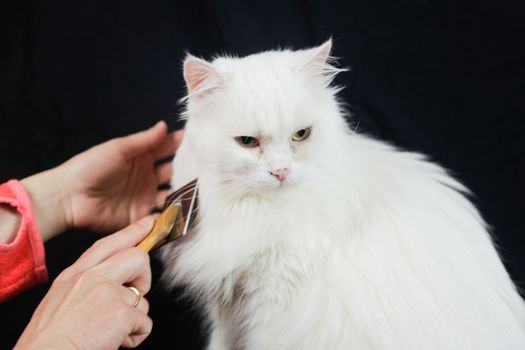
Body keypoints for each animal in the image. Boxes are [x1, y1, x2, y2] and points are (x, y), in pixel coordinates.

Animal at [161, 39, 524, 348]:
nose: (281, 172)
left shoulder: (270, 300)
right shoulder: (226, 306)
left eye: (301, 135)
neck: (254, 211)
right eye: (247, 142)